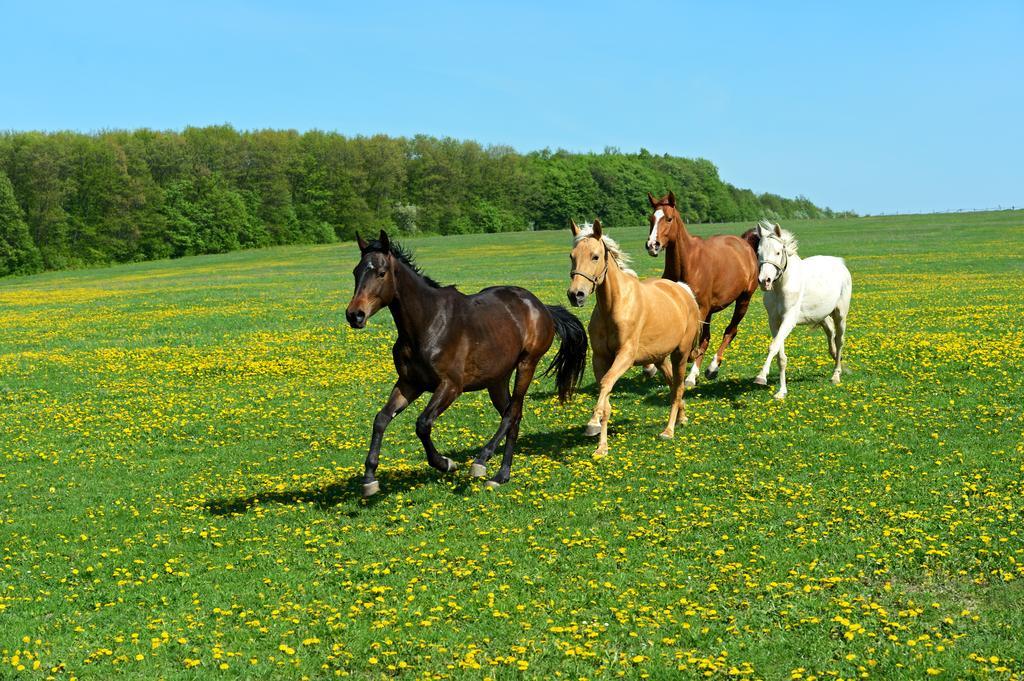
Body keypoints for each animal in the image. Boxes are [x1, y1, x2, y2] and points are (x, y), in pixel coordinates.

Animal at [346, 229, 589, 493]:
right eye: (356, 271)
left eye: (381, 273)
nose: (354, 315)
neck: (428, 323)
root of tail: (540, 306)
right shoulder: (410, 384)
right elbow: (381, 419)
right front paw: (369, 478)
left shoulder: (451, 386)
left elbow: (423, 424)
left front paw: (446, 463)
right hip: (497, 379)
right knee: (513, 417)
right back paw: (501, 475)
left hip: (527, 365)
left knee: (511, 414)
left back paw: (482, 461)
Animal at [569, 219, 704, 456]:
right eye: (572, 256)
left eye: (595, 256)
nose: (576, 295)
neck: (613, 306)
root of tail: (683, 290)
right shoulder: (600, 358)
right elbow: (605, 392)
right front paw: (600, 440)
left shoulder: (625, 356)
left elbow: (606, 384)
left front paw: (595, 427)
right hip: (660, 359)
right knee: (673, 387)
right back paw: (682, 417)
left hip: (680, 355)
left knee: (678, 388)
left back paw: (669, 430)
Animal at [647, 191, 761, 385]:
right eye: (651, 219)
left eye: (669, 219)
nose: (652, 245)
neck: (688, 263)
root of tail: (745, 244)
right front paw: (651, 367)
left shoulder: (701, 308)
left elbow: (693, 343)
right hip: (710, 311)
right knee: (707, 338)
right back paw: (694, 374)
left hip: (742, 301)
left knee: (730, 331)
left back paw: (711, 368)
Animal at [749, 222, 851, 399]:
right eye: (758, 253)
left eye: (778, 252)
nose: (764, 281)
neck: (781, 287)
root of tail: (840, 264)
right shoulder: (774, 321)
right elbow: (780, 355)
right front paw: (781, 391)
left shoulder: (789, 320)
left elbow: (773, 347)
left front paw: (761, 377)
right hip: (822, 316)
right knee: (830, 334)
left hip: (840, 315)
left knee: (839, 340)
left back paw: (836, 375)